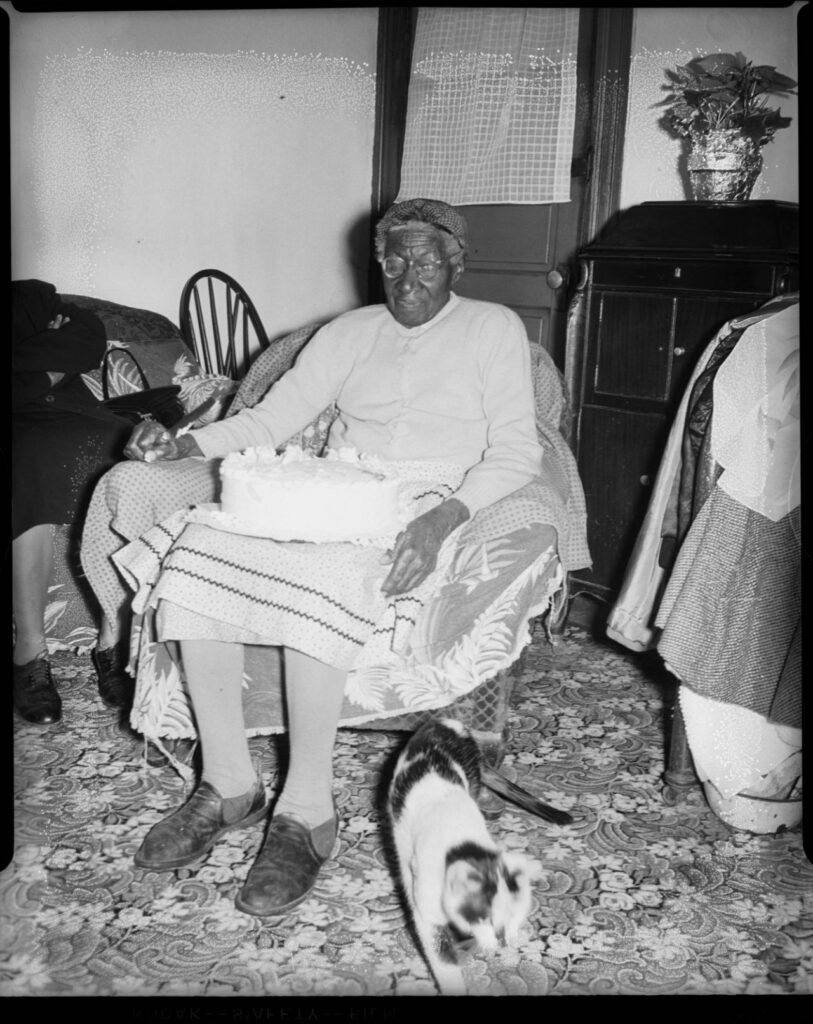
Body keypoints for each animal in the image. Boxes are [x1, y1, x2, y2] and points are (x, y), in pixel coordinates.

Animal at [387, 716, 569, 995]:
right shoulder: (427, 911)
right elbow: (443, 959)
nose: (502, 941)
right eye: (485, 917)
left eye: (514, 917)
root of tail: (446, 722)